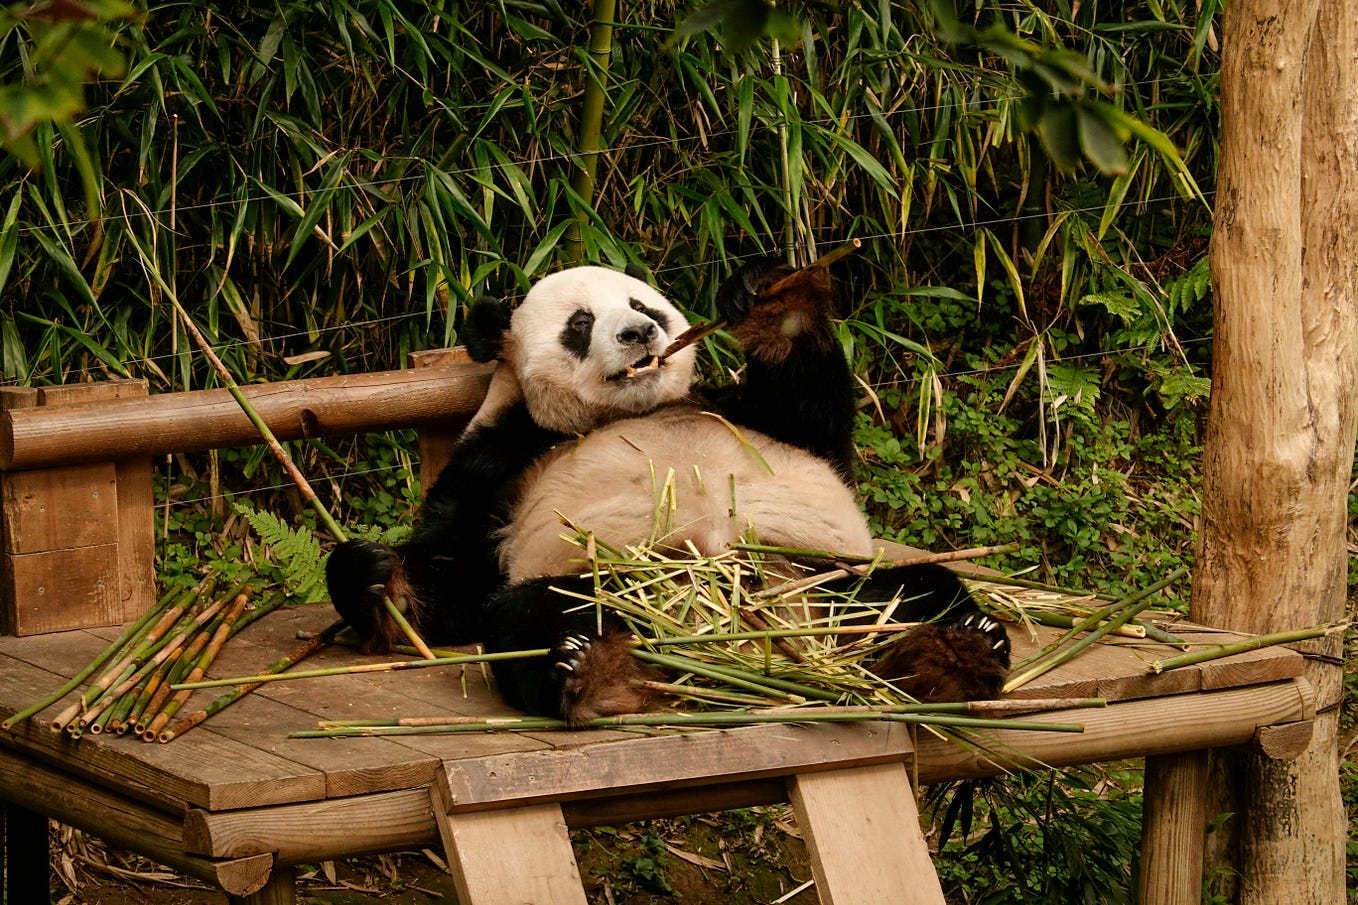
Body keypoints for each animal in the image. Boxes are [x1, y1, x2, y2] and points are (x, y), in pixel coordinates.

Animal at [325, 259, 1011, 724]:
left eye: (644, 306)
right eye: (581, 324)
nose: (637, 334)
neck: (639, 407)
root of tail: (750, 645)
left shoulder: (742, 415)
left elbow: (821, 430)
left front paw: (768, 295)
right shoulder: (504, 455)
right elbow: (455, 573)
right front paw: (372, 576)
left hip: (821, 575)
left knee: (913, 592)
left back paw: (961, 650)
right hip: (609, 586)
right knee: (528, 618)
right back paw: (585, 672)